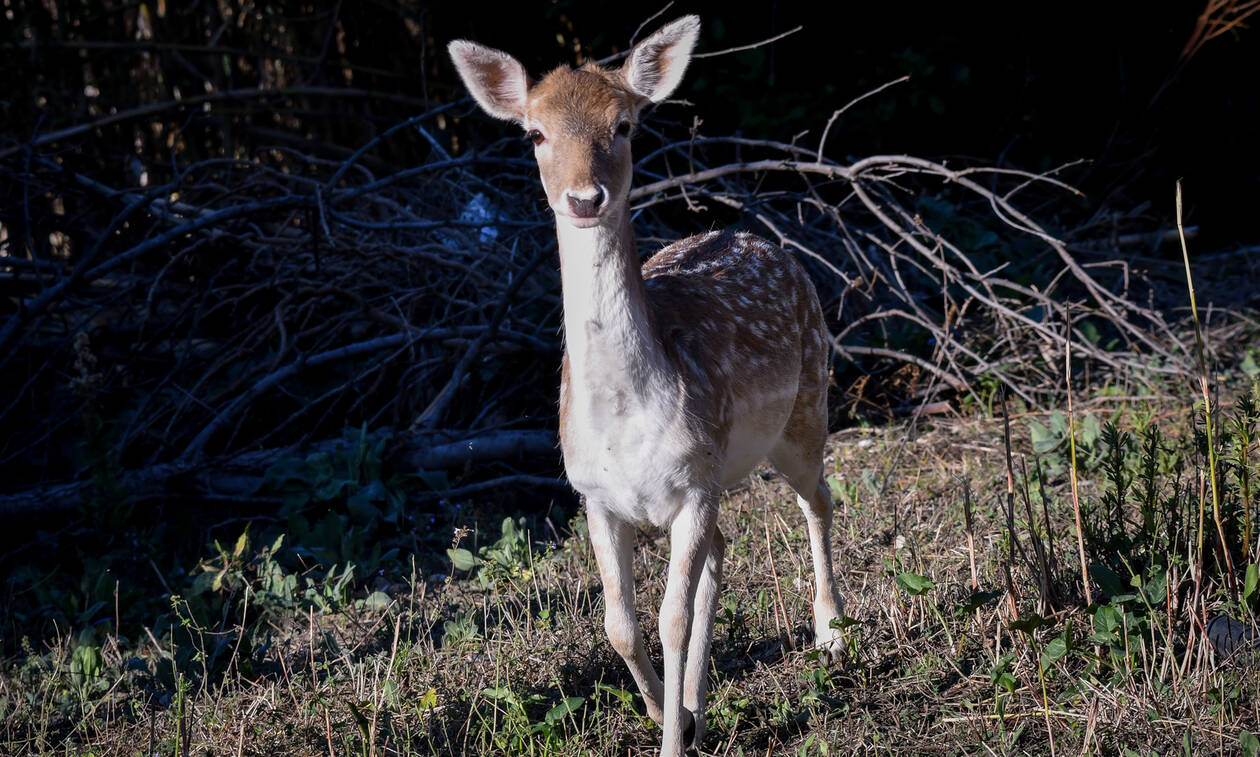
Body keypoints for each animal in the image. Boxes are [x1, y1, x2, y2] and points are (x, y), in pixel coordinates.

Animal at [446, 16, 846, 750]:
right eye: (535, 133)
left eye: (625, 124)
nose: (583, 197)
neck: (626, 416)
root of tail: (763, 241)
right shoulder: (595, 496)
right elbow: (621, 625)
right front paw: (669, 714)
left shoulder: (695, 482)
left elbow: (670, 620)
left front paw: (672, 741)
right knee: (724, 550)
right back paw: (698, 704)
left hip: (806, 409)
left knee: (819, 499)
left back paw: (831, 631)